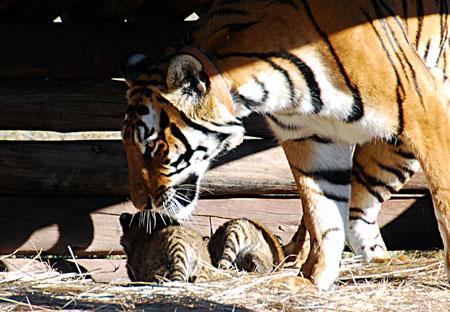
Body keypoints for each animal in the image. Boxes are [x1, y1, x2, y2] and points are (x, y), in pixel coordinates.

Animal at [120, 0, 450, 290]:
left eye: (152, 145)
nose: (139, 203)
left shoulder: (426, 111)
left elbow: (444, 202)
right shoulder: (311, 138)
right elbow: (324, 214)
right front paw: (312, 280)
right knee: (358, 209)